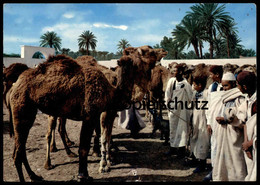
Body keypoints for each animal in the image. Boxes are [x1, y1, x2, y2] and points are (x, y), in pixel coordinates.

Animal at [9, 45, 168, 182]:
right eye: (148, 51)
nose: (163, 51)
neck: (111, 92)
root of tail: (15, 85)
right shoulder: (90, 115)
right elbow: (84, 147)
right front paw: (85, 174)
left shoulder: (98, 114)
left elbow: (97, 139)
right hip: (22, 109)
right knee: (20, 150)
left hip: (30, 113)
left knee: (20, 148)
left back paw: (35, 175)